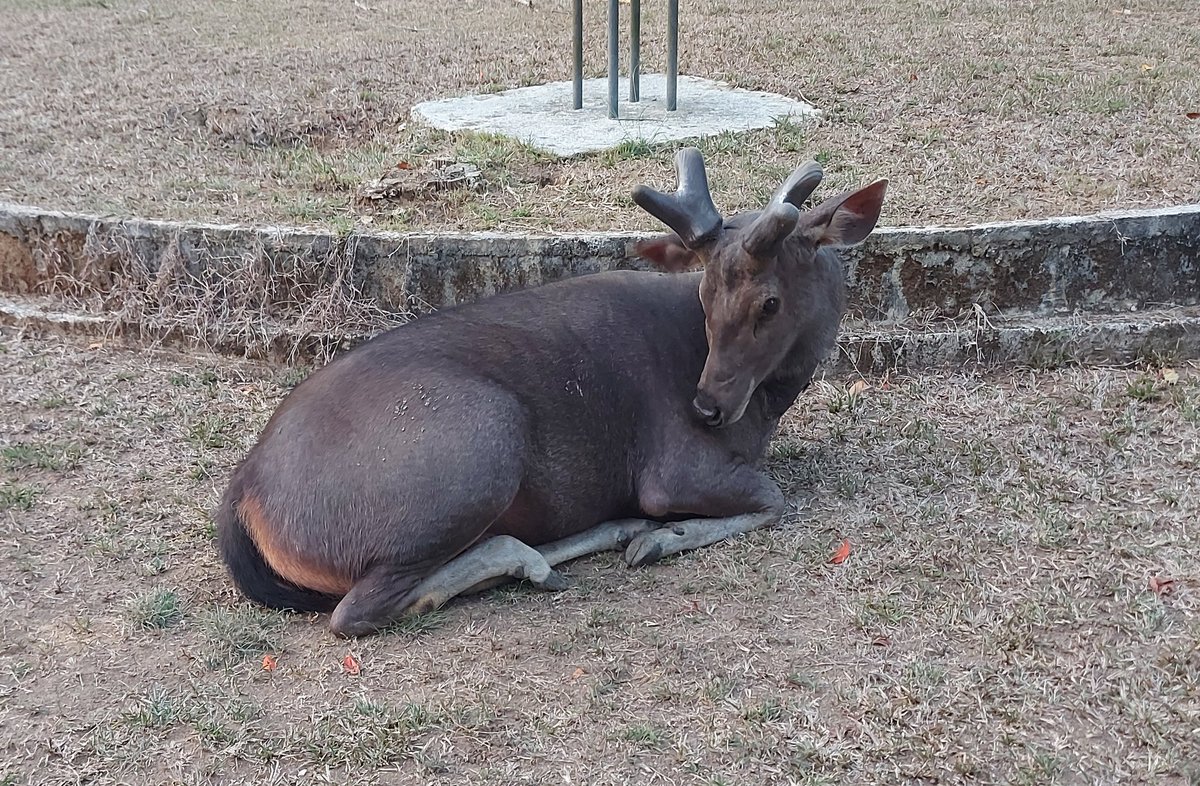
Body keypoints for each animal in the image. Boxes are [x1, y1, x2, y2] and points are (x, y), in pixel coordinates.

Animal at [216, 147, 887, 637]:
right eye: (703, 295)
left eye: (768, 302)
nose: (706, 406)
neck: (767, 410)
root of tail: (242, 494)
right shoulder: (671, 469)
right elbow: (773, 499)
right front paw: (662, 537)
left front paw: (646, 534)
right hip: (478, 439)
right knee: (356, 610)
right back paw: (530, 558)